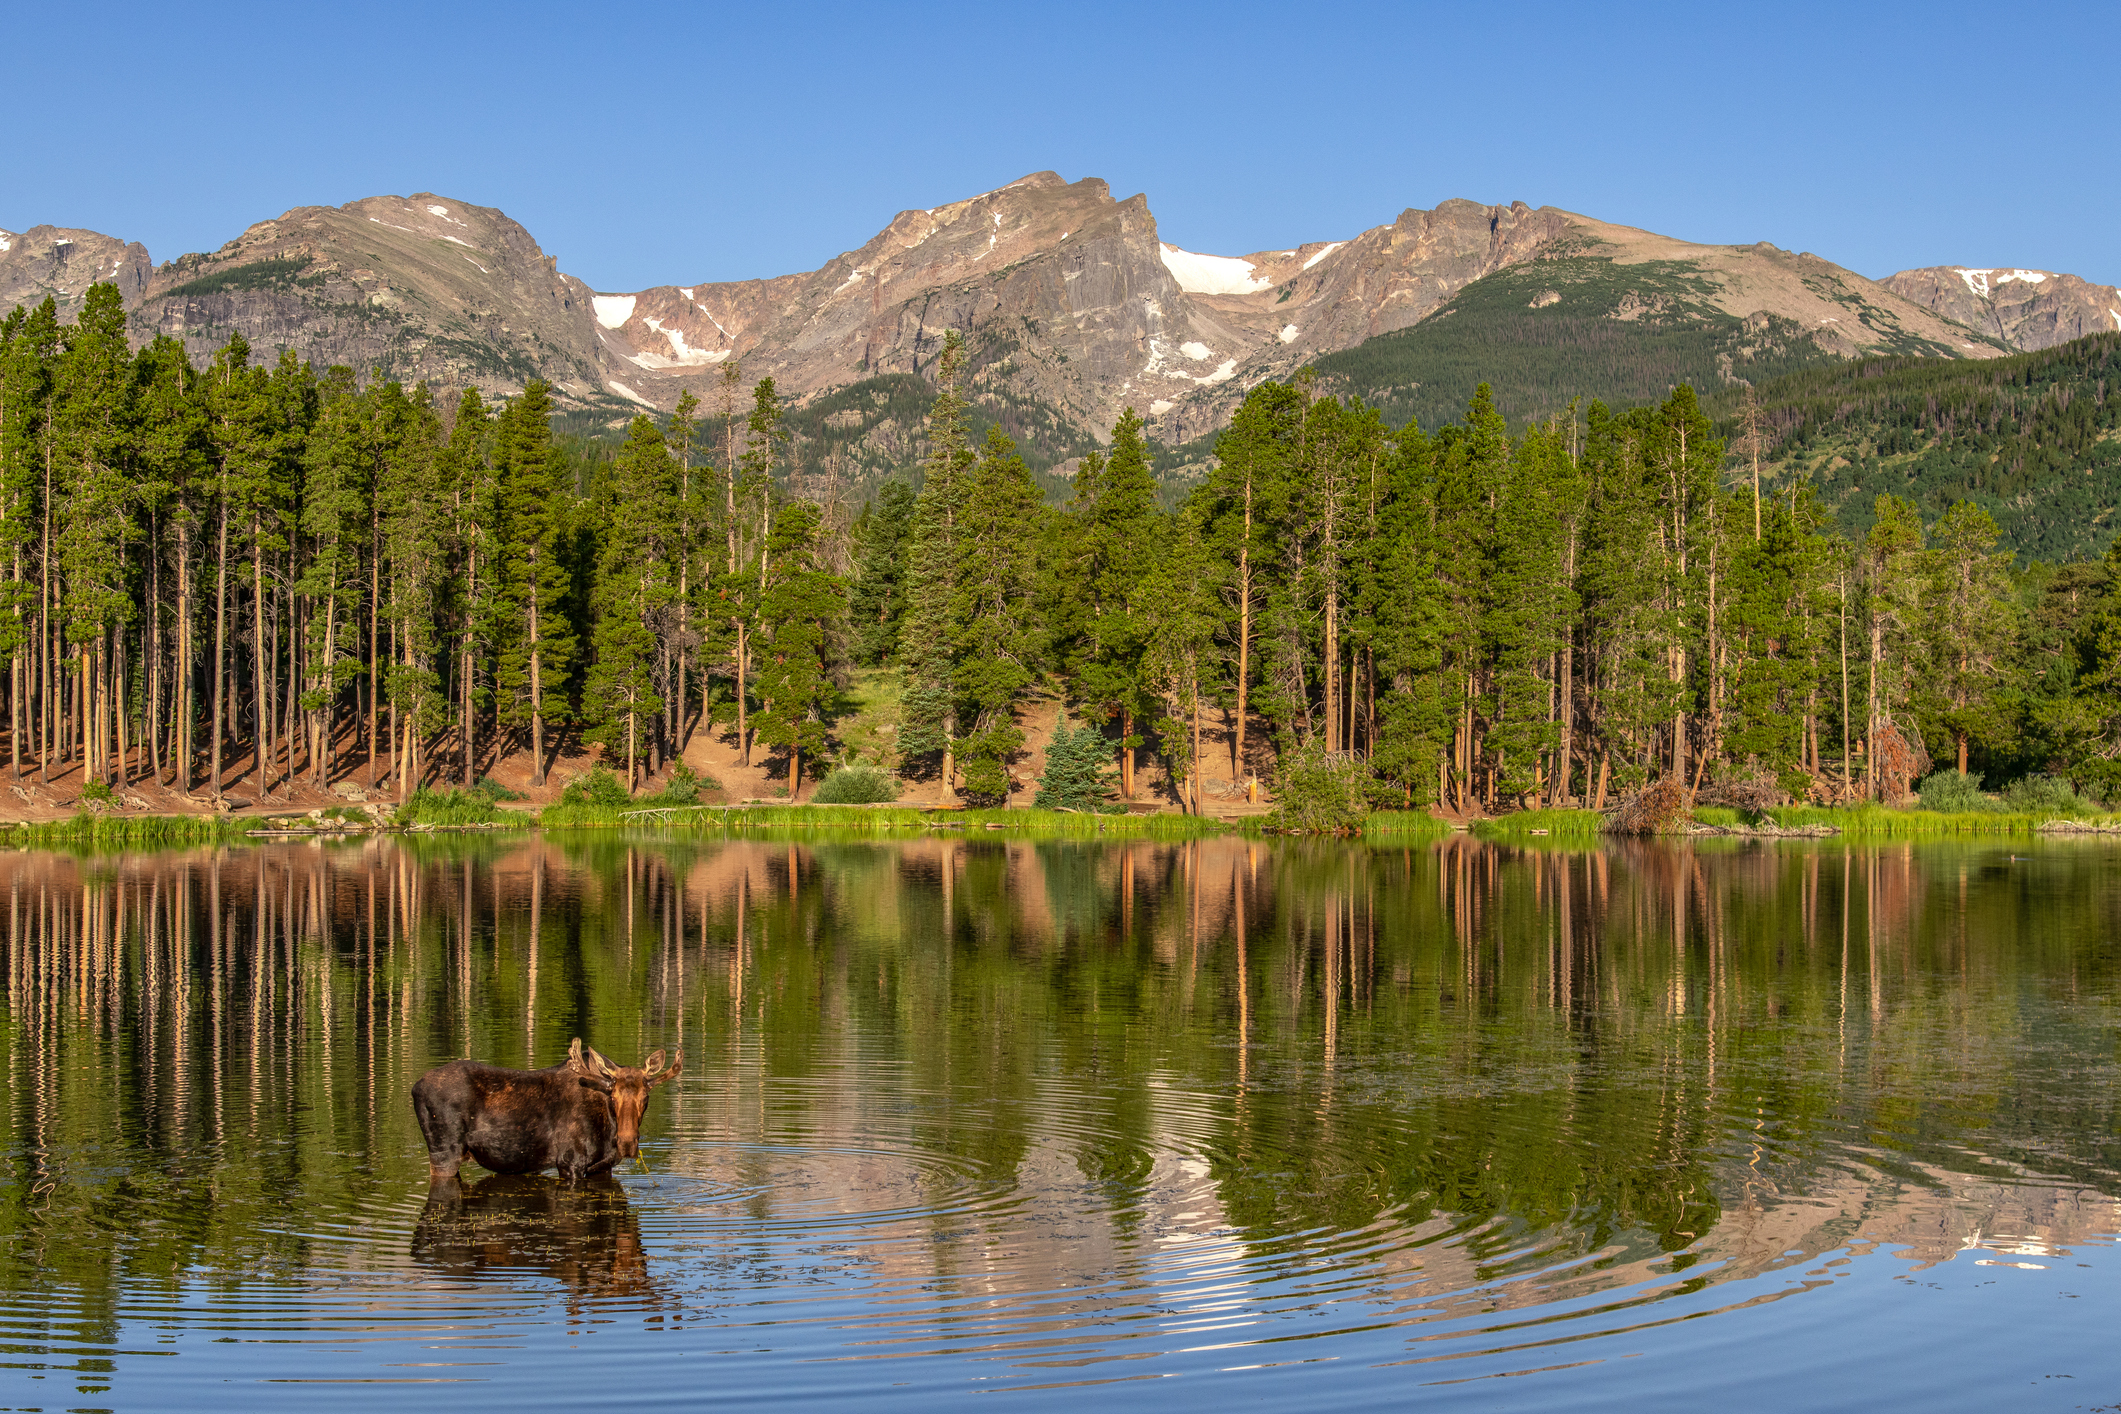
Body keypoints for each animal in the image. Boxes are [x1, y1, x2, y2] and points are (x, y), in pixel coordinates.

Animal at [411, 1038, 678, 1187]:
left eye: (646, 1097)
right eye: (613, 1096)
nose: (626, 1142)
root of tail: (415, 1088)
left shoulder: (602, 1167)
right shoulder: (569, 1163)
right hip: (444, 1153)